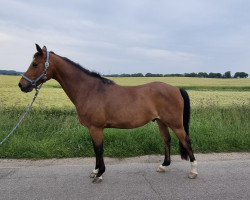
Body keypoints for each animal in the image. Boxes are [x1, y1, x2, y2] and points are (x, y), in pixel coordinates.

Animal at [18, 43, 198, 183]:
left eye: (35, 64)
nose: (21, 85)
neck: (90, 90)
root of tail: (176, 88)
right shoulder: (92, 129)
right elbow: (95, 149)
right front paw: (95, 171)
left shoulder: (96, 128)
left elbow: (99, 149)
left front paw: (99, 174)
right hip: (161, 121)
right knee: (167, 140)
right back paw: (163, 165)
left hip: (175, 123)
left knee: (186, 141)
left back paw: (193, 171)